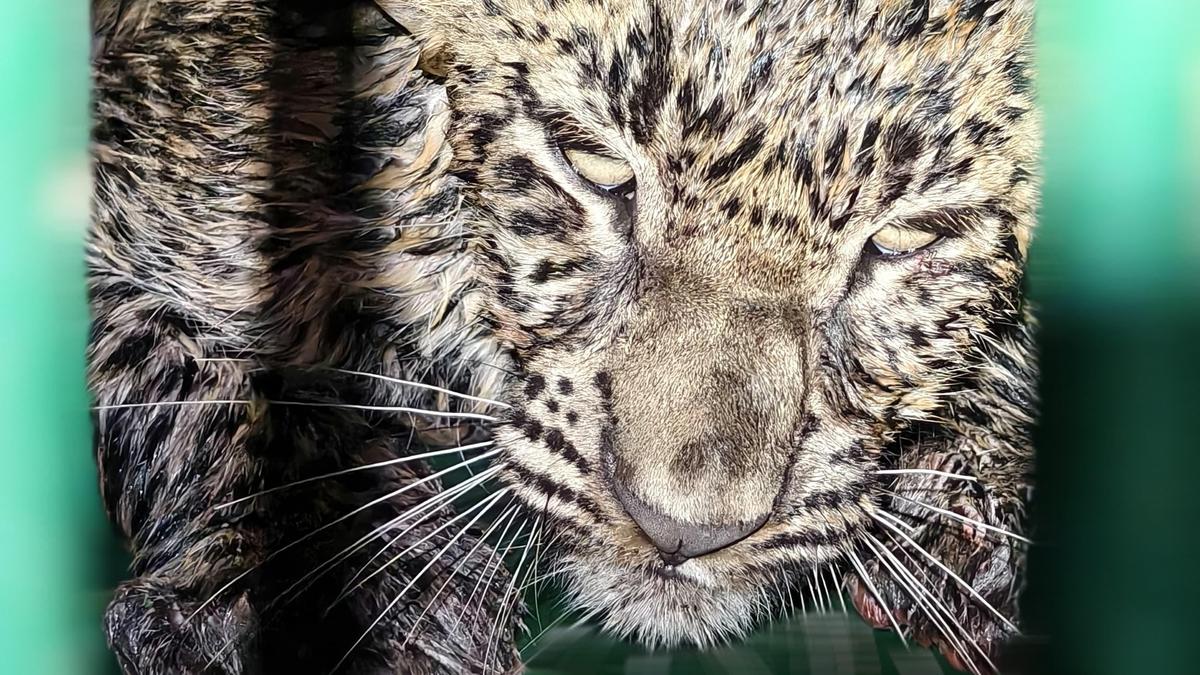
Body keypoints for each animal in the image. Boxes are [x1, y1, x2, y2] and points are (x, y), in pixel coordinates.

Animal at [89, 0, 1038, 673]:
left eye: (905, 240)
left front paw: (973, 516)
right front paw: (389, 589)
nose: (681, 531)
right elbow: (209, 390)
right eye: (595, 167)